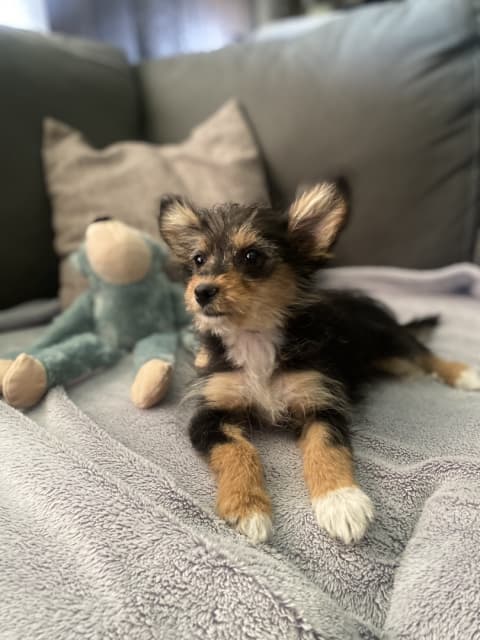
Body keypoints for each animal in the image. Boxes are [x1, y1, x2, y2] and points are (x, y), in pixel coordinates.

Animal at [158, 183, 480, 545]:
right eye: (198, 260)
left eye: (252, 256)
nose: (201, 292)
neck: (255, 338)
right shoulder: (210, 413)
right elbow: (237, 450)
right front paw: (247, 506)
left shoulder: (321, 401)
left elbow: (327, 448)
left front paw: (341, 502)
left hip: (391, 346)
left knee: (423, 353)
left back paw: (464, 373)